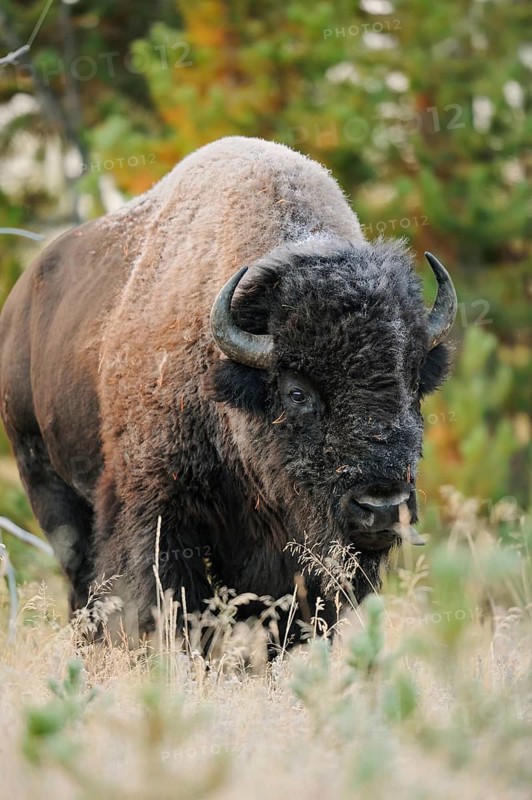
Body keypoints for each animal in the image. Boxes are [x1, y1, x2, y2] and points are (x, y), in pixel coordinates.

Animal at [0, 136, 456, 643]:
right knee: (80, 580)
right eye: (297, 392)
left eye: (412, 382)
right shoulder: (159, 507)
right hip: (42, 476)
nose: (382, 507)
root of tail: (20, 299)